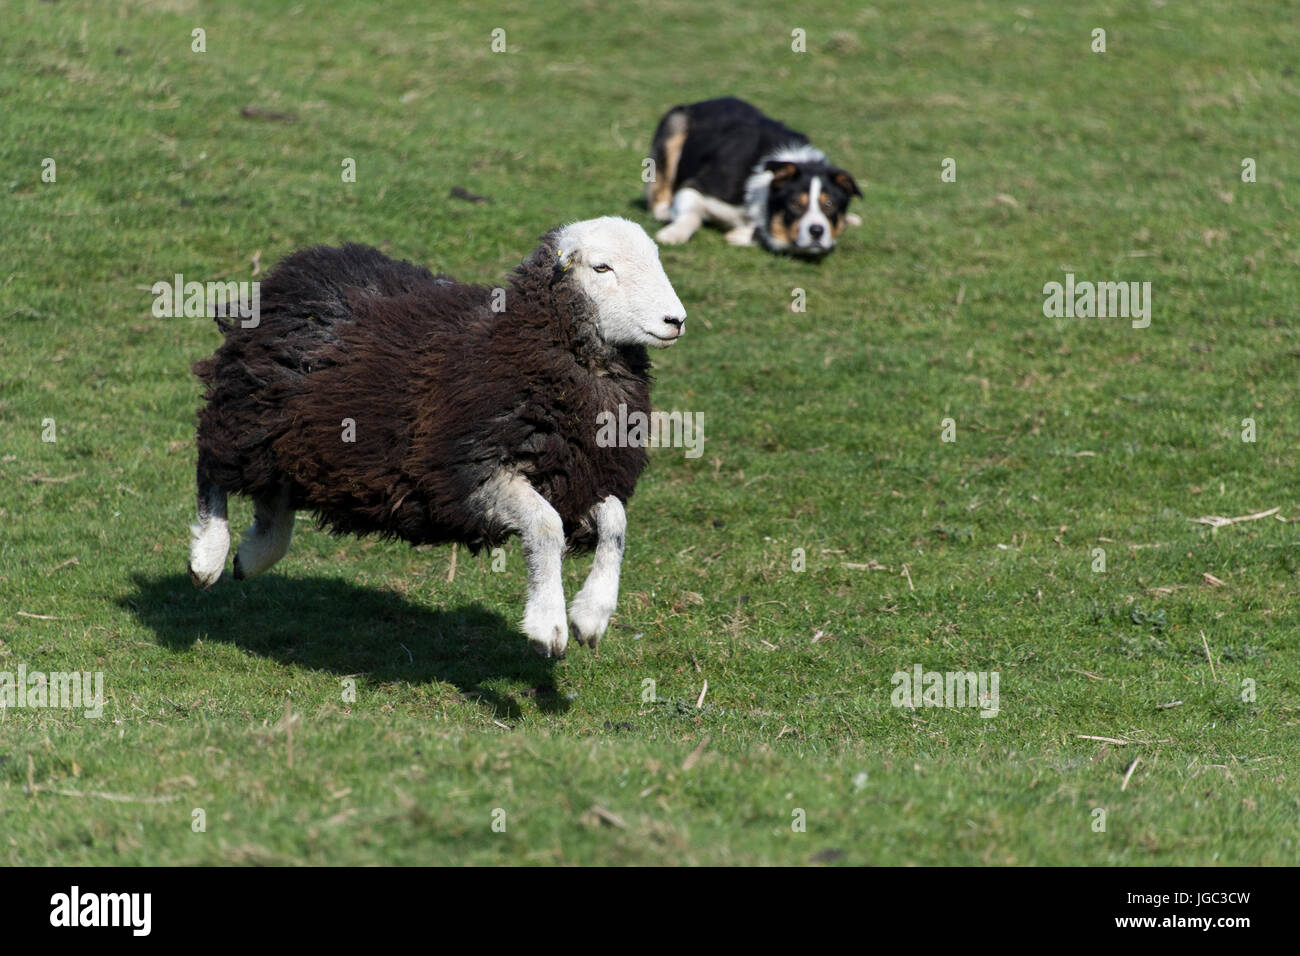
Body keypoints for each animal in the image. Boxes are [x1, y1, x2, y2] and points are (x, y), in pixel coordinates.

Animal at [647, 95, 863, 257]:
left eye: (829, 204)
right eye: (795, 203)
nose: (817, 231)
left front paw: (742, 234)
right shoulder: (696, 187)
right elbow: (692, 215)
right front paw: (674, 233)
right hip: (675, 123)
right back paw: (664, 211)